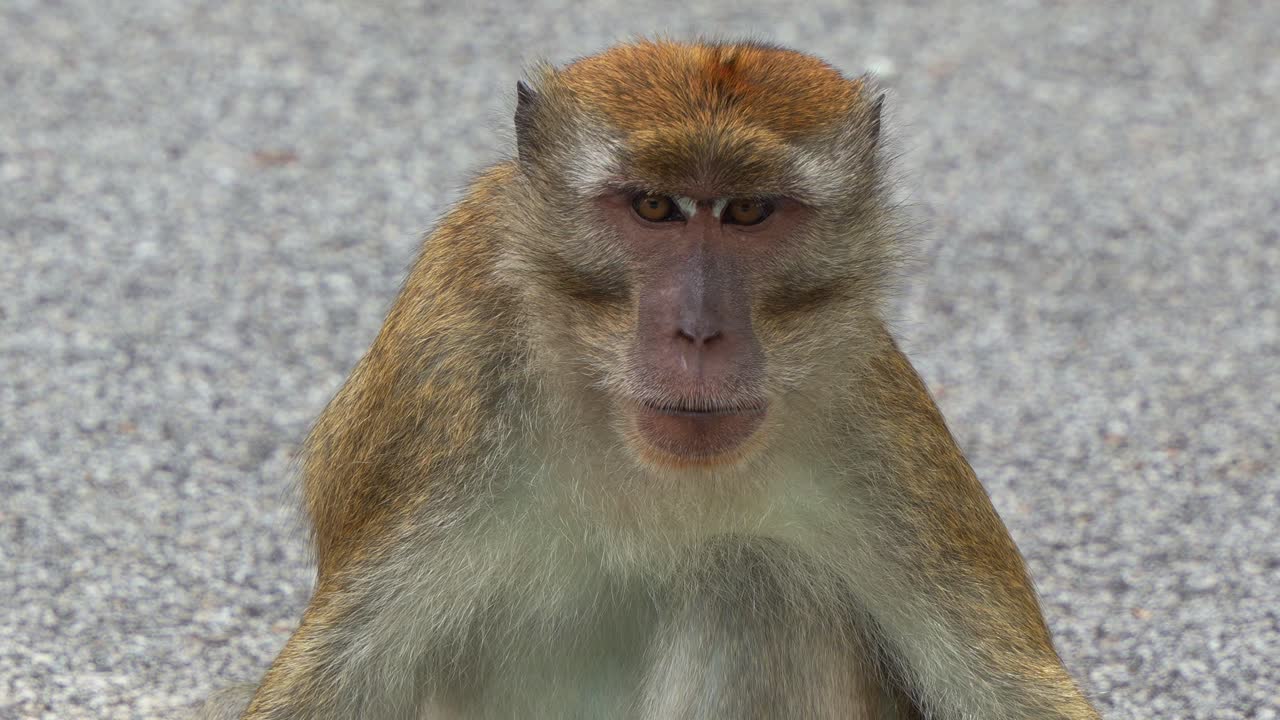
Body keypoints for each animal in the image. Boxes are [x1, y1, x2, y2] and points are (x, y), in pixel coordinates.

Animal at [196, 39, 1101, 719]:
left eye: (747, 212)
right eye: (656, 208)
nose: (697, 331)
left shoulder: (866, 419)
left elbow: (1010, 692)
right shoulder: (450, 390)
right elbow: (336, 684)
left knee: (750, 582)